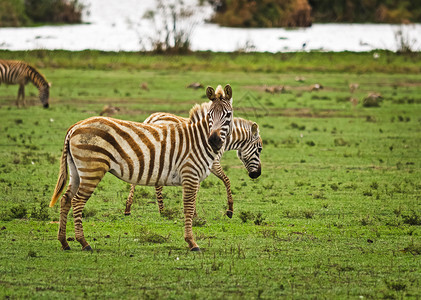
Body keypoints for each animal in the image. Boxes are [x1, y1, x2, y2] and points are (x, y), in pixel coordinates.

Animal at [50, 84, 233, 251]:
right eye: (210, 115)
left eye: (228, 115)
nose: (214, 141)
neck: (198, 140)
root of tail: (75, 126)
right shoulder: (190, 174)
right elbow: (188, 207)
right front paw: (192, 243)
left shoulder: (194, 177)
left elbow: (192, 205)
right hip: (92, 169)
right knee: (77, 201)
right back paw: (84, 243)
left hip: (76, 171)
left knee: (66, 199)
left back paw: (64, 242)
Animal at [122, 109, 262, 217]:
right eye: (260, 149)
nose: (257, 175)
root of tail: (151, 119)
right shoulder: (212, 162)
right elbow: (226, 180)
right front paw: (229, 210)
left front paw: (193, 212)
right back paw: (162, 211)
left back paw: (128, 209)